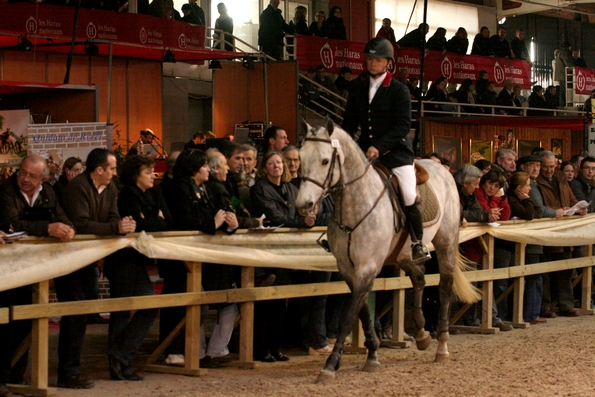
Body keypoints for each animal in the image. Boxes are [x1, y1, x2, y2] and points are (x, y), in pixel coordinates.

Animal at [296, 120, 482, 384]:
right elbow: (363, 310)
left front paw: (330, 365)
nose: (304, 205)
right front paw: (372, 355)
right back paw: (422, 334)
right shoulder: (348, 269)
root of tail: (443, 168)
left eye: (324, 160)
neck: (355, 206)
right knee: (419, 277)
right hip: (402, 255)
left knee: (444, 287)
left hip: (445, 243)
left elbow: (349, 314)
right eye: (300, 158)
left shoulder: (368, 268)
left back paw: (442, 347)